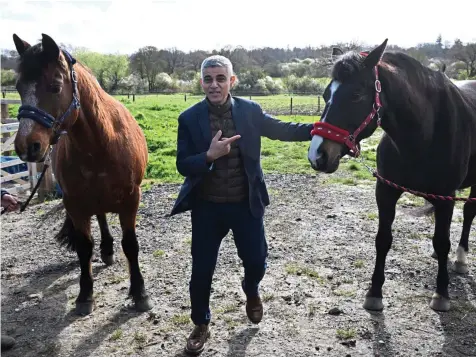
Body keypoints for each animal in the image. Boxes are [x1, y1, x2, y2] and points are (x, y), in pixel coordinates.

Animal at [13, 33, 152, 314]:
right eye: (19, 87)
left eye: (56, 86)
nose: (26, 146)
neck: (101, 142)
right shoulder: (75, 204)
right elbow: (84, 248)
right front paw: (85, 295)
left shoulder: (131, 199)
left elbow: (131, 245)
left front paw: (140, 292)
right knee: (100, 217)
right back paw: (106, 249)